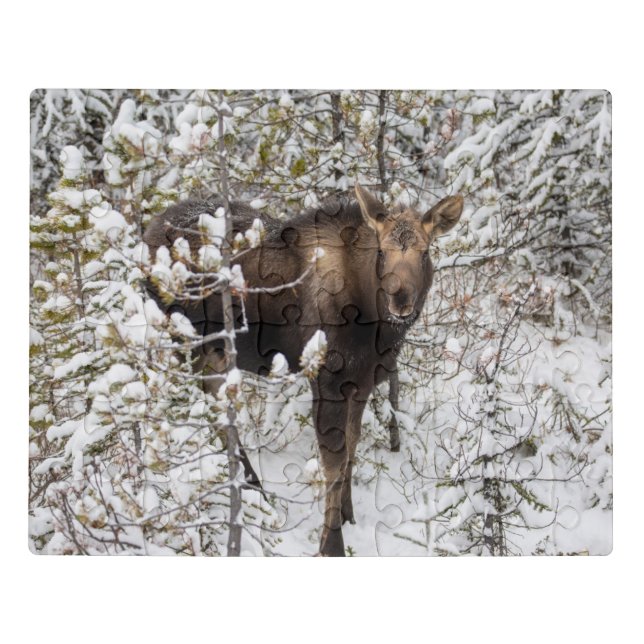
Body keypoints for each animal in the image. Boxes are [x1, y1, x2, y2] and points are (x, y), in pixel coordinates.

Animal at [143, 183, 464, 556]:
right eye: (382, 252)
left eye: (425, 253)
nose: (400, 300)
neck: (377, 328)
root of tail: (146, 235)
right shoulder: (327, 381)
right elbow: (334, 463)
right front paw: (332, 544)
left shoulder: (362, 381)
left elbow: (352, 447)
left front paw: (348, 515)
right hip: (187, 343)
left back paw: (251, 484)